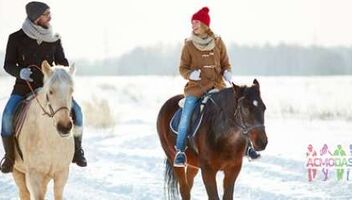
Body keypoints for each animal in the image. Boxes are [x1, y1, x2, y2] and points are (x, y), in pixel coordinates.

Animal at [12, 61, 75, 200]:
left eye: (71, 90)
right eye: (50, 91)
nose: (64, 127)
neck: (51, 140)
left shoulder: (61, 173)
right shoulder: (35, 176)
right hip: (17, 171)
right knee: (24, 193)